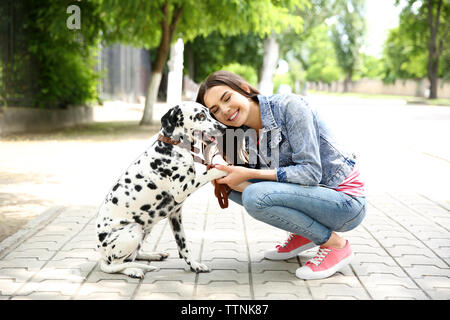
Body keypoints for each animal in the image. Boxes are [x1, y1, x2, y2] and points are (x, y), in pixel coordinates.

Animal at [96, 101, 229, 278]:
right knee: (117, 264)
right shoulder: (182, 189)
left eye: (209, 112)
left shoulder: (175, 215)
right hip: (134, 229)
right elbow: (208, 173)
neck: (172, 146)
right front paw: (223, 168)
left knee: (133, 255)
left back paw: (153, 255)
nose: (223, 128)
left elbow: (183, 246)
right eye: (200, 116)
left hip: (146, 226)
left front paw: (194, 265)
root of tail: (101, 254)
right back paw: (134, 270)